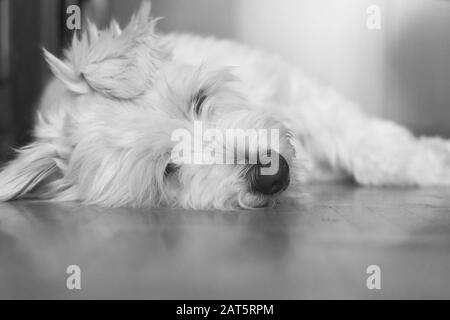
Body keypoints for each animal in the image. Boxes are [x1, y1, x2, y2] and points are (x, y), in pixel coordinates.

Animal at [0, 1, 450, 210]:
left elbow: (369, 143)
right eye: (170, 169)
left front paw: (433, 162)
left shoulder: (298, 92)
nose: (272, 175)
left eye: (199, 100)